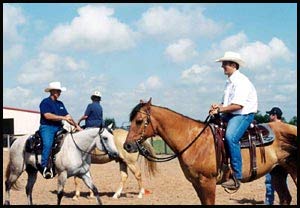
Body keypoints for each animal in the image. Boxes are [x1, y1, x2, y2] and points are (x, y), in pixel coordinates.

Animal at [123, 98, 296, 205]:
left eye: (139, 121)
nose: (127, 146)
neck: (193, 140)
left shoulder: (208, 182)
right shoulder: (196, 183)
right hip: (278, 172)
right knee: (285, 198)